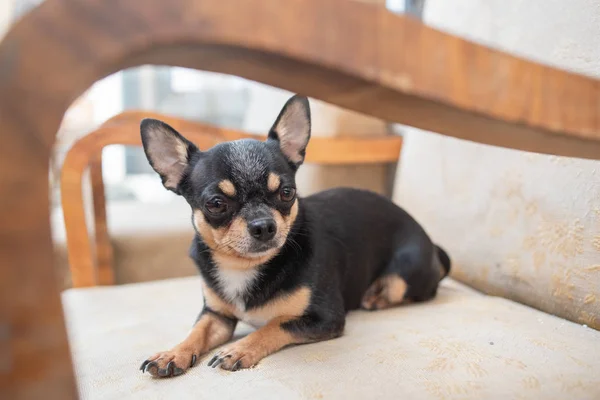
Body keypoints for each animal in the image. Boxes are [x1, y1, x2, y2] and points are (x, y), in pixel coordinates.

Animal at [139, 95, 450, 376]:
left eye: (287, 193)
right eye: (216, 204)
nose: (264, 225)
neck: (246, 267)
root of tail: (430, 243)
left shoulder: (324, 317)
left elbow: (273, 324)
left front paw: (239, 349)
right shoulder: (216, 315)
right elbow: (197, 331)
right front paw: (173, 353)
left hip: (404, 275)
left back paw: (377, 297)